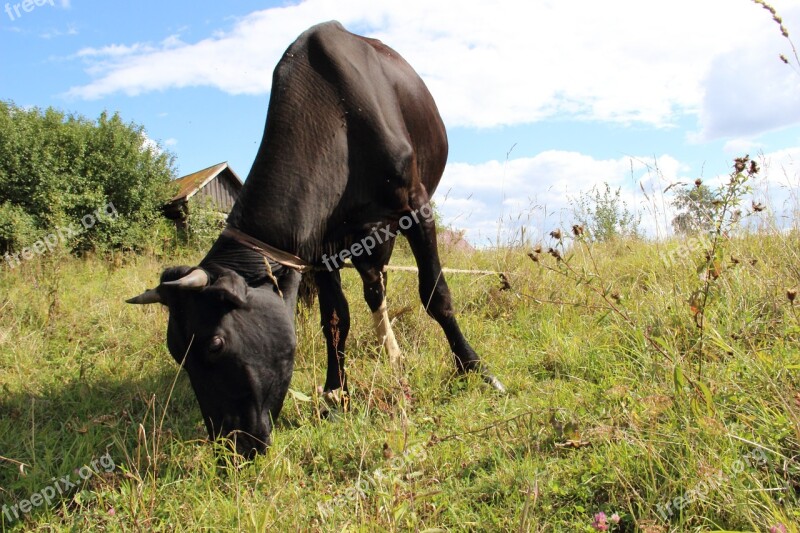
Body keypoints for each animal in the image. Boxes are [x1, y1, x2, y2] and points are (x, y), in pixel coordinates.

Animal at [130, 18, 506, 456]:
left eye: (215, 344)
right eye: (177, 353)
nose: (232, 444)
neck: (339, 120)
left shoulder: (416, 206)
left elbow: (435, 294)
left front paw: (476, 369)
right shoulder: (319, 247)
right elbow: (335, 318)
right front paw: (335, 392)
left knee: (383, 287)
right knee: (374, 289)